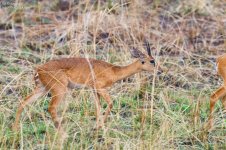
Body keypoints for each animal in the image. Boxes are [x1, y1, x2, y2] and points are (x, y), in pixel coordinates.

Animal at [12, 42, 162, 132]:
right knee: (51, 107)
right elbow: (110, 103)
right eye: (152, 60)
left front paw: (97, 127)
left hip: (42, 89)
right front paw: (100, 127)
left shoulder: (93, 90)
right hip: (59, 90)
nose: (161, 70)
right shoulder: (100, 88)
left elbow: (98, 108)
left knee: (23, 102)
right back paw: (62, 133)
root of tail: (39, 69)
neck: (114, 71)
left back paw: (15, 129)